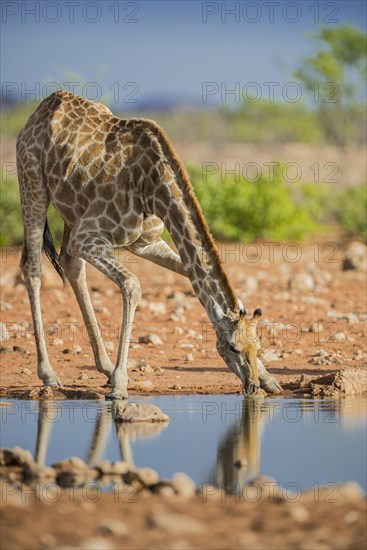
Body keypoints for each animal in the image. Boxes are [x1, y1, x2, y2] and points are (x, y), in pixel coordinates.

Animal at [16, 91, 282, 402]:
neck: (152, 188)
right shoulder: (89, 236)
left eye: (258, 345)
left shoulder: (145, 242)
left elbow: (189, 274)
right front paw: (120, 385)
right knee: (33, 268)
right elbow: (132, 285)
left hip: (72, 211)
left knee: (71, 264)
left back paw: (104, 366)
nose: (251, 388)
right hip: (32, 183)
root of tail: (40, 110)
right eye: (232, 347)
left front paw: (270, 379)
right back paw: (49, 374)